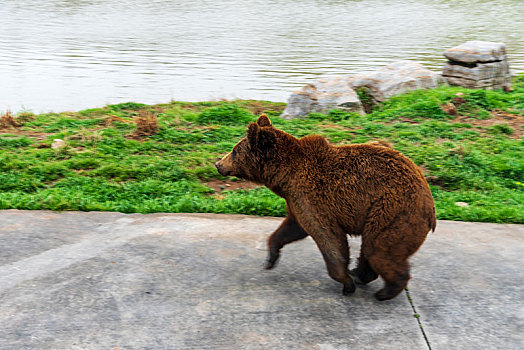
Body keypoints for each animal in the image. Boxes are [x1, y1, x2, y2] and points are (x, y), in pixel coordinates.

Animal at [215, 115, 436, 300]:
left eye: (234, 150)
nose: (218, 164)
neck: (284, 176)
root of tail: (430, 203)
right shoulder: (295, 200)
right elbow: (290, 229)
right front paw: (270, 258)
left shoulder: (313, 196)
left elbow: (328, 237)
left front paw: (346, 283)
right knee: (371, 248)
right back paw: (360, 274)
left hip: (391, 211)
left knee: (379, 248)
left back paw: (384, 291)